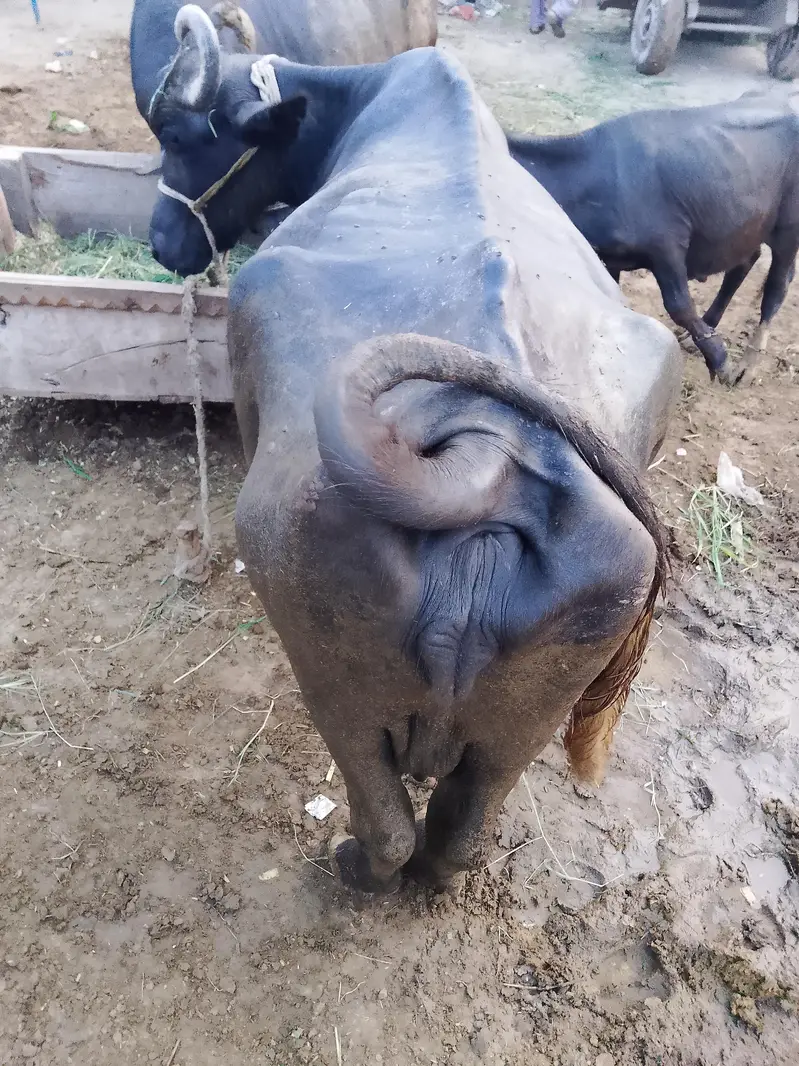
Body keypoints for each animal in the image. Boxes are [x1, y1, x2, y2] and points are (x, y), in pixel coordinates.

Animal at [508, 92, 799, 386]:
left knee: (776, 287)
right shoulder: (608, 259)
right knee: (744, 263)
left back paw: (748, 365)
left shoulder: (667, 247)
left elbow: (679, 306)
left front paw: (721, 361)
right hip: (744, 226)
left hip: (787, 231)